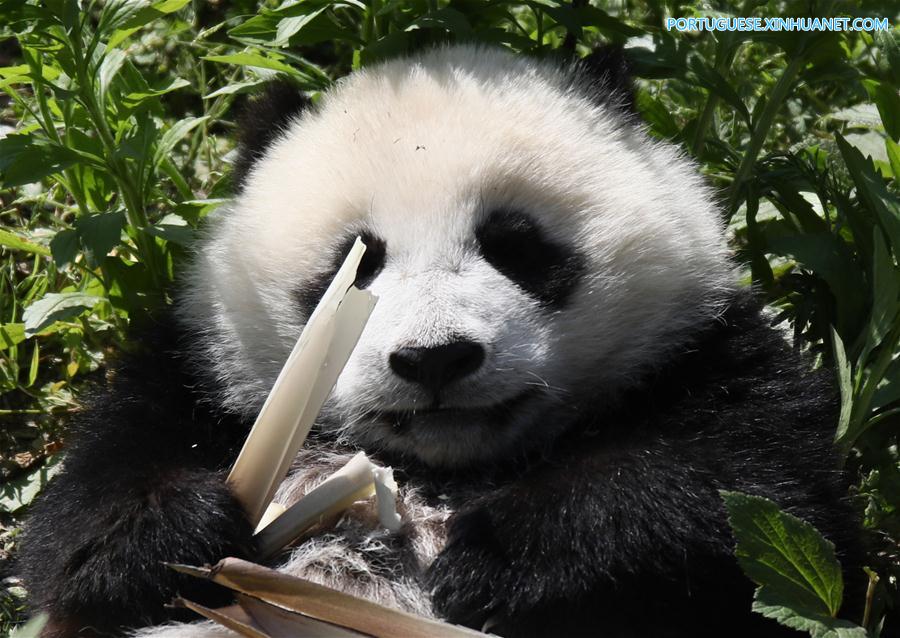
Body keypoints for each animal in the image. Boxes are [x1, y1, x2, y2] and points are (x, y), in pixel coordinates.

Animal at [17, 45, 860, 638]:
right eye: (355, 262)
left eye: (517, 246)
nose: (435, 358)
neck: (441, 469)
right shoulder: (196, 373)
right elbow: (79, 521)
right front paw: (178, 529)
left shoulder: (709, 354)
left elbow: (753, 493)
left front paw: (498, 557)